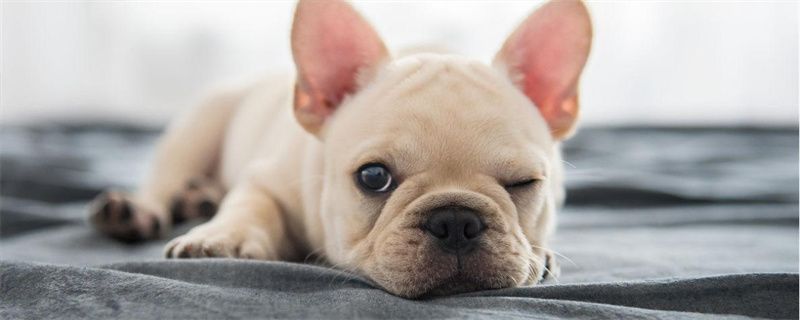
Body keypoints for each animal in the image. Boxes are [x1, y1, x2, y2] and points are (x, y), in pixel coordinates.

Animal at [90, 0, 592, 298]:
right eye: (373, 177)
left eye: (524, 182)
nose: (455, 221)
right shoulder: (267, 179)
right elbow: (251, 205)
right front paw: (221, 238)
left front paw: (544, 257)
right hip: (200, 124)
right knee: (163, 180)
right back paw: (139, 212)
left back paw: (199, 197)